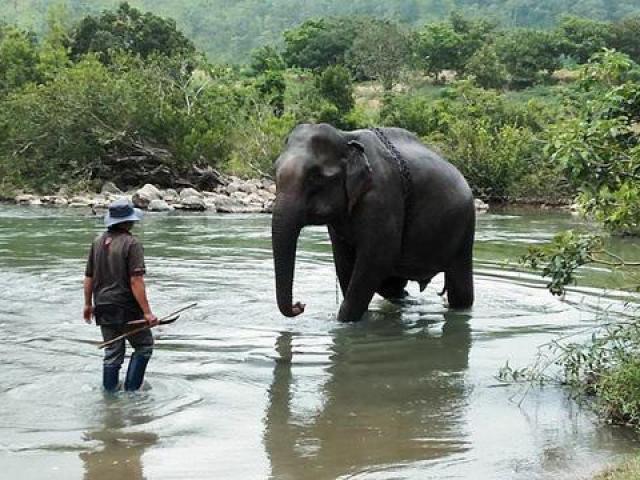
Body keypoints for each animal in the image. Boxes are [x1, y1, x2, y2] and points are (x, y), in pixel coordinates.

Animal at [272, 123, 476, 322]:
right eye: (275, 172)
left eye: (315, 177)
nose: (300, 305)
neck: (345, 137)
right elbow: (344, 261)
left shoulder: (382, 195)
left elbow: (376, 259)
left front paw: (344, 322)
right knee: (393, 286)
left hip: (465, 227)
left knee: (460, 287)